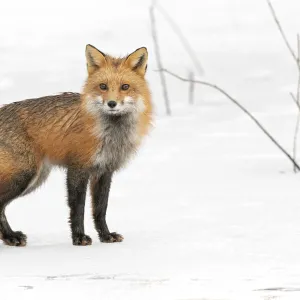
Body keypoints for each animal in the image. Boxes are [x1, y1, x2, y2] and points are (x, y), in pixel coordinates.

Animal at [0, 44, 152, 246]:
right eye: (103, 86)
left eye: (125, 87)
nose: (112, 103)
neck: (110, 135)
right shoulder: (77, 169)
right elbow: (77, 209)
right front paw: (79, 237)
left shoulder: (105, 171)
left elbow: (100, 210)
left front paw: (106, 236)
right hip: (24, 176)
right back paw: (10, 237)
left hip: (35, 178)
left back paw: (9, 237)